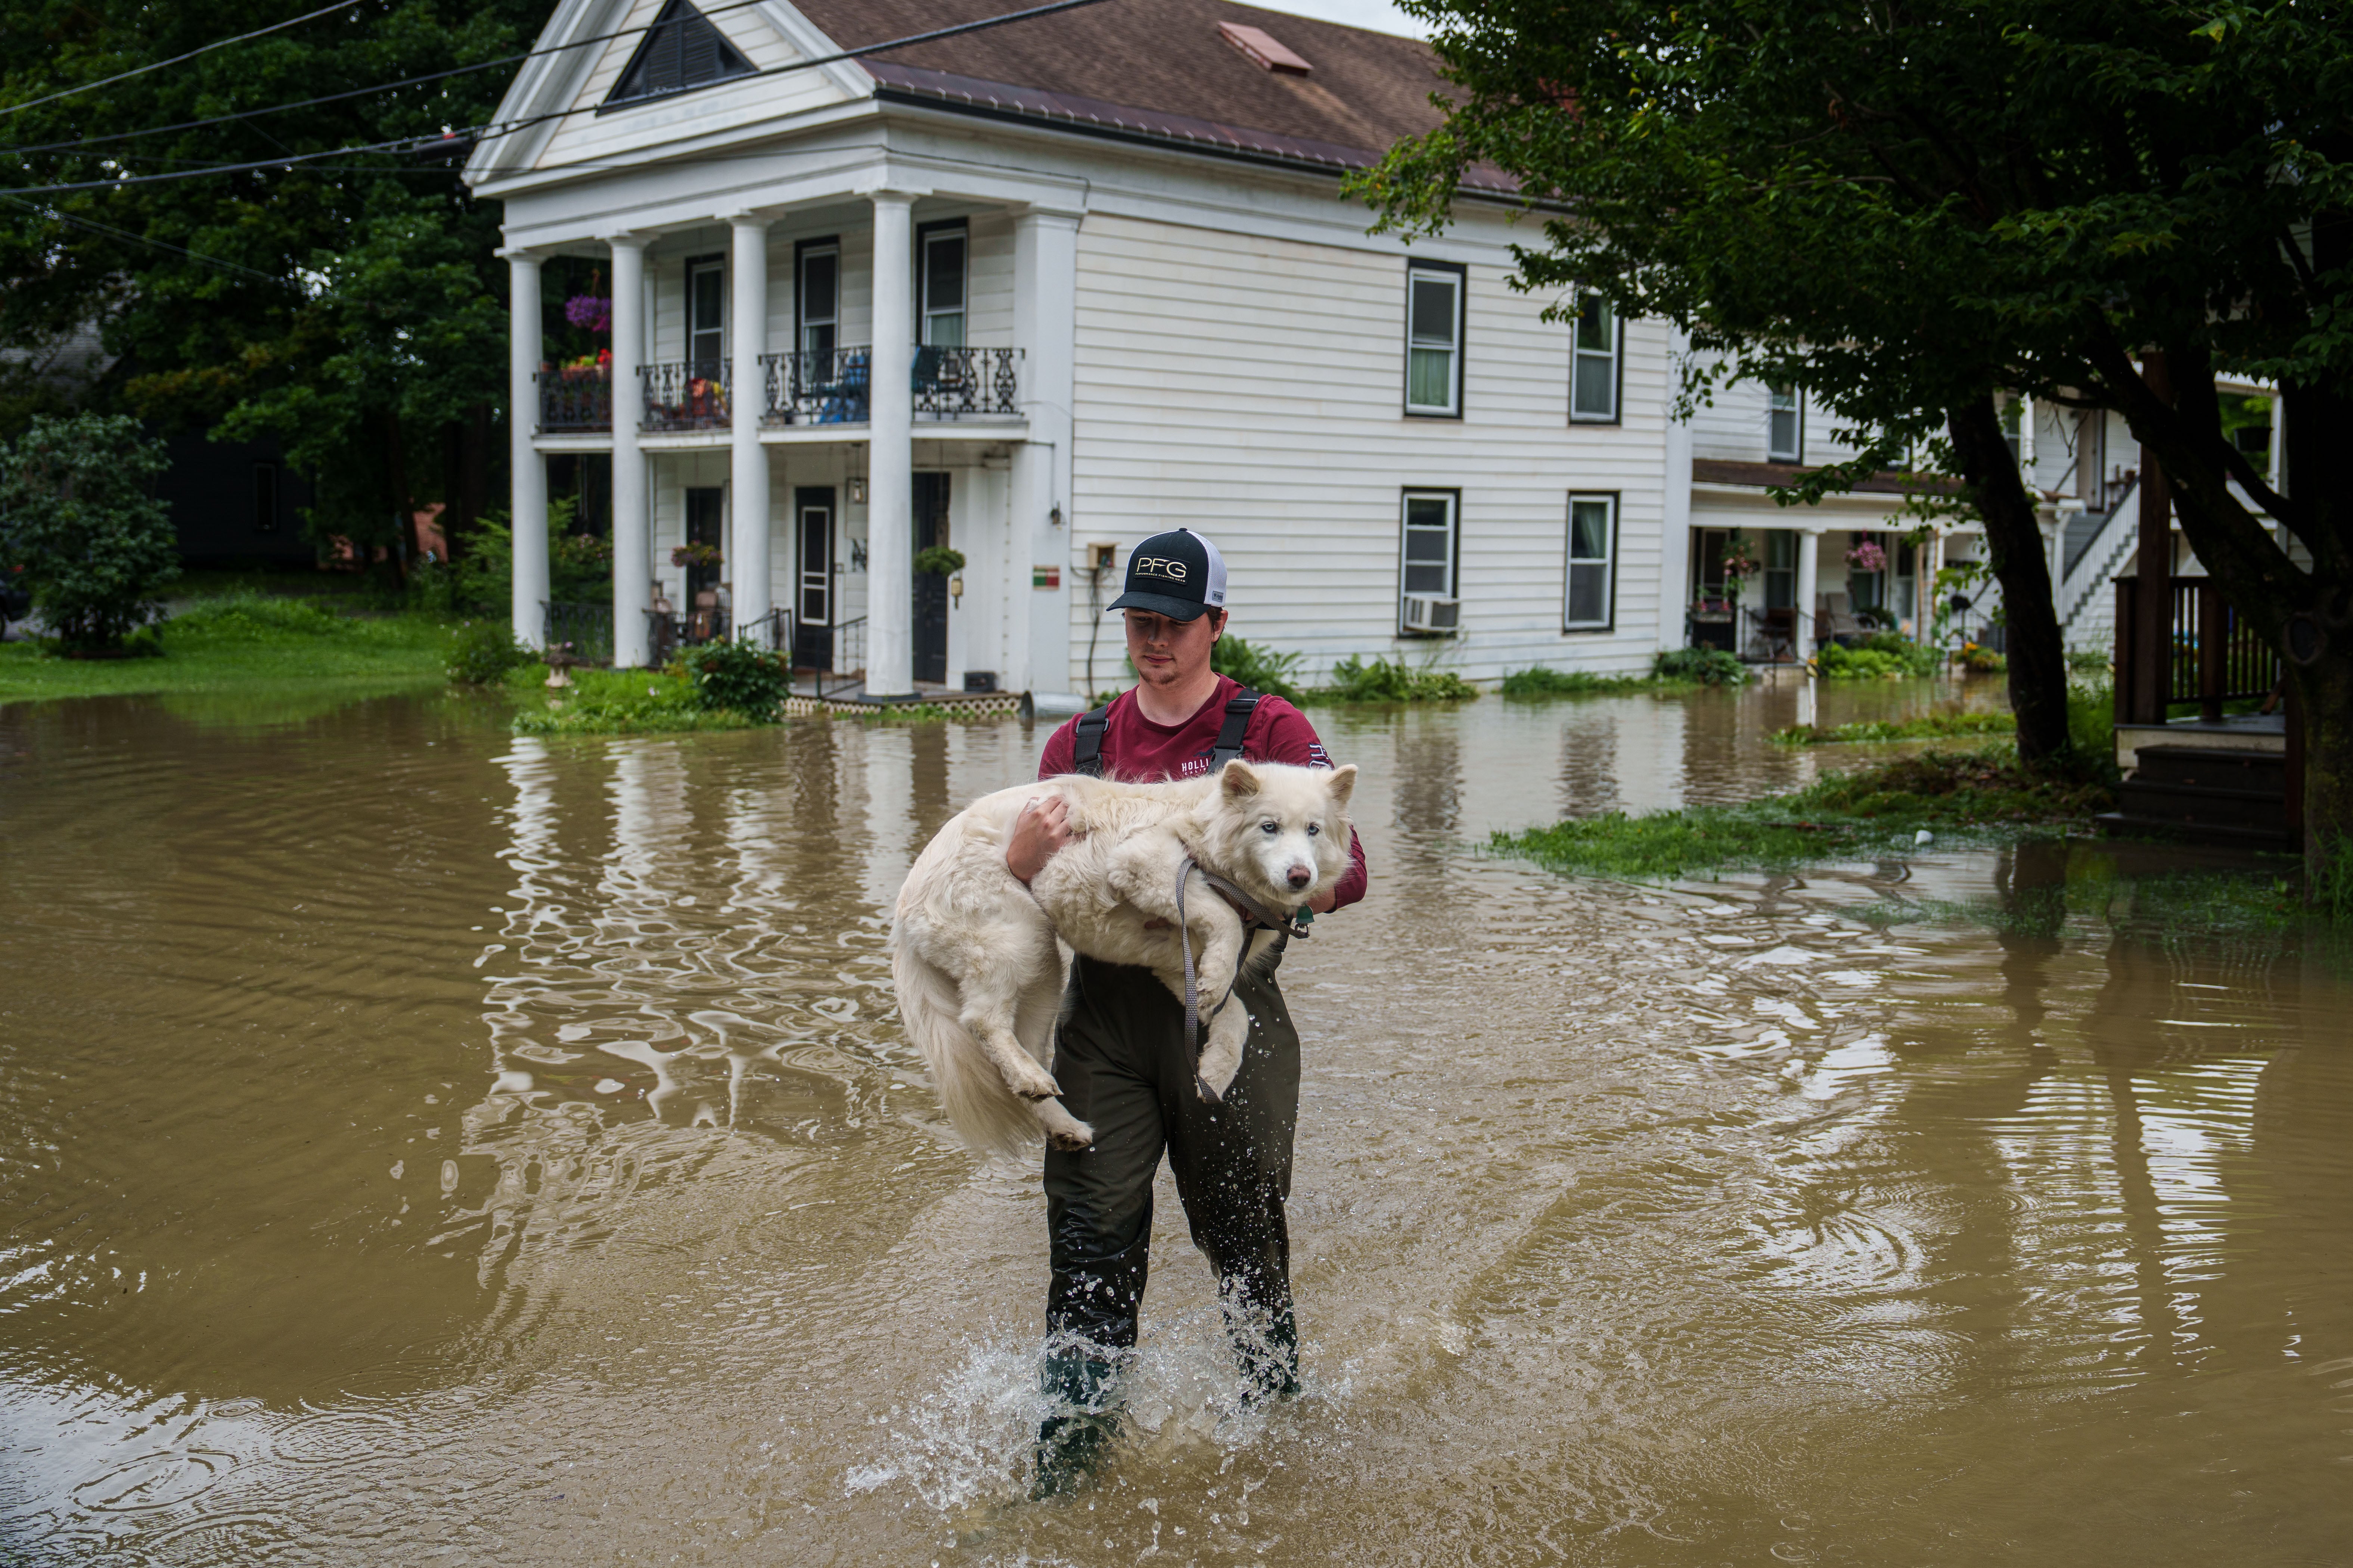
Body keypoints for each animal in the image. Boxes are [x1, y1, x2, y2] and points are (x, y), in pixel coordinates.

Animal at [885, 766, 1365, 1161]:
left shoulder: (1172, 964)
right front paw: (1216, 981)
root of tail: (904, 904)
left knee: (1020, 1047)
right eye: (1269, 827)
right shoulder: (1143, 864)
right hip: (1020, 940)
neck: (1204, 829)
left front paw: (1214, 1069)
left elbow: (1235, 1015)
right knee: (981, 1021)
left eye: (1313, 830)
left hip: (1042, 977)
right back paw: (1029, 1078)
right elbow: (1224, 921)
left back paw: (1060, 1119)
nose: (1300, 876)